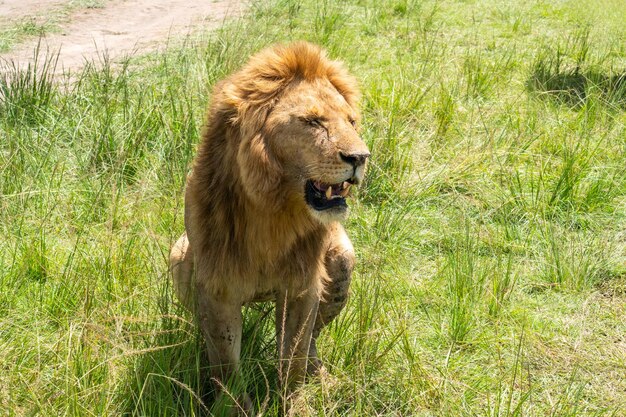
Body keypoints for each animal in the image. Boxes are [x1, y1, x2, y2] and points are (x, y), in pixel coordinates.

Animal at [168, 41, 368, 412]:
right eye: (313, 121)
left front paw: (296, 405)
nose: (361, 158)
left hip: (341, 260)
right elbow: (227, 365)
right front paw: (234, 409)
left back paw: (323, 378)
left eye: (351, 121)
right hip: (179, 257)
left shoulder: (302, 284)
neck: (275, 210)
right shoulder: (217, 285)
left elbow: (294, 358)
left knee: (312, 343)